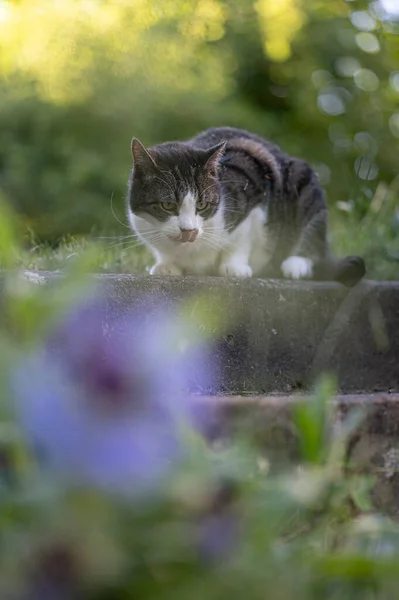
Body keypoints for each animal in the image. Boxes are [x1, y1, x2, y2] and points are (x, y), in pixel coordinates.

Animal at [126, 125, 368, 288]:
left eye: (202, 204)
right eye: (167, 205)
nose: (189, 231)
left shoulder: (257, 193)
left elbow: (241, 240)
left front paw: (234, 268)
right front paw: (166, 265)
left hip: (304, 183)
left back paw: (295, 264)